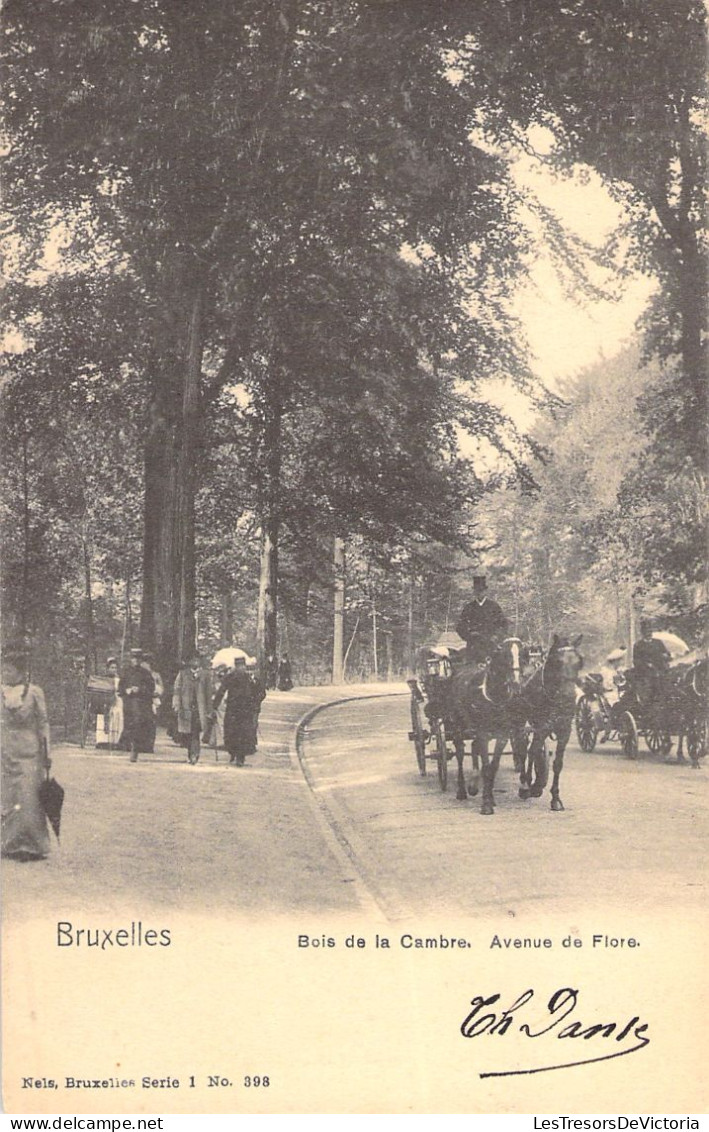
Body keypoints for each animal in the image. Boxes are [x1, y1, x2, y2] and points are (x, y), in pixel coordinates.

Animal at [443, 638, 520, 815]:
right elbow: (486, 767)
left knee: (474, 746)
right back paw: (462, 790)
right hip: (458, 728)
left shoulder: (502, 735)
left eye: (524, 655)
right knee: (460, 753)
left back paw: (473, 784)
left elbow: (493, 767)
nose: (516, 683)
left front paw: (490, 798)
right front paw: (486, 804)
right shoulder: (483, 733)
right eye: (506, 656)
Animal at [509, 633, 584, 810]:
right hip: (520, 722)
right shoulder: (542, 727)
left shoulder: (564, 731)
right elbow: (532, 751)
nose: (569, 696)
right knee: (523, 749)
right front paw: (530, 786)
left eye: (579, 661)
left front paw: (555, 797)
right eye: (557, 661)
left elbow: (558, 763)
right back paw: (525, 783)